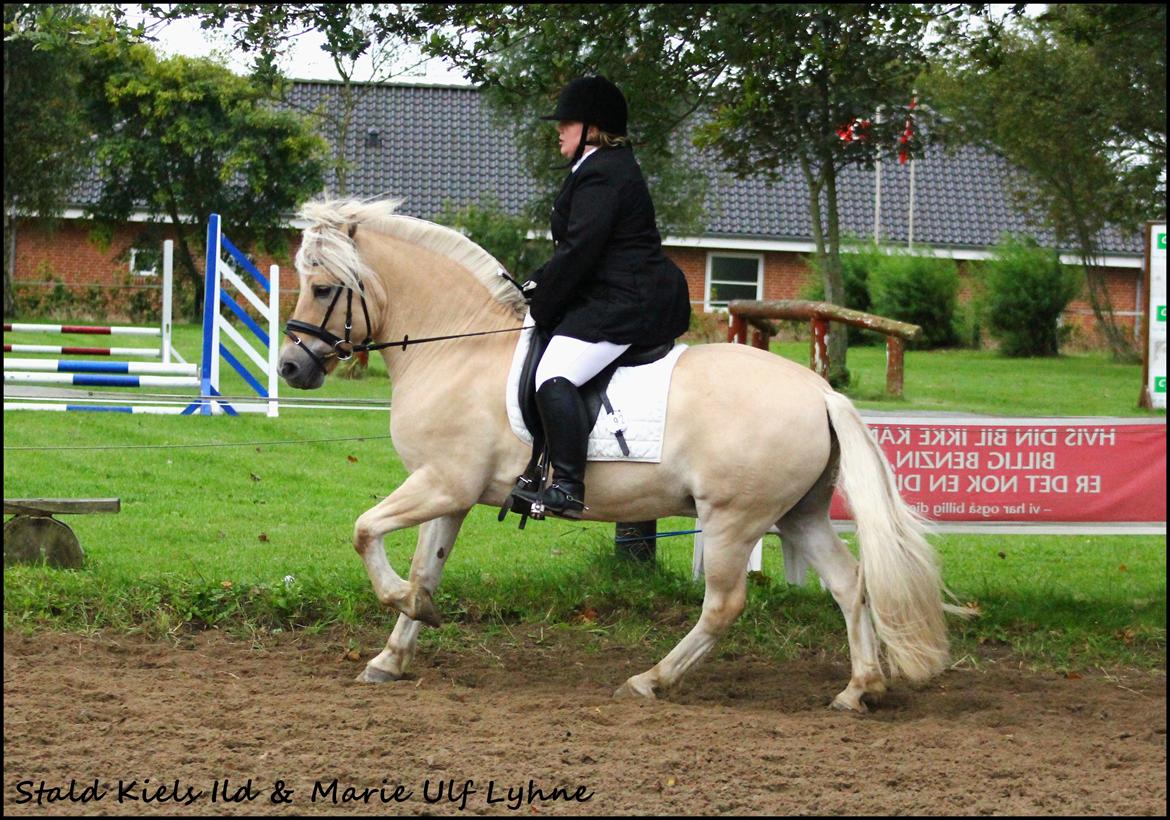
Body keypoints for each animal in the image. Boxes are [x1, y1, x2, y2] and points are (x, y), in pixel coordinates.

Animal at [278, 196, 964, 711]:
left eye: (322, 288)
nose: (290, 367)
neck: (458, 348)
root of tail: (821, 392)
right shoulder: (452, 492)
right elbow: (426, 568)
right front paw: (392, 654)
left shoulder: (441, 482)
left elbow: (364, 530)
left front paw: (402, 605)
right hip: (798, 514)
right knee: (849, 584)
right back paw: (859, 688)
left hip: (733, 519)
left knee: (724, 605)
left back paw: (651, 680)